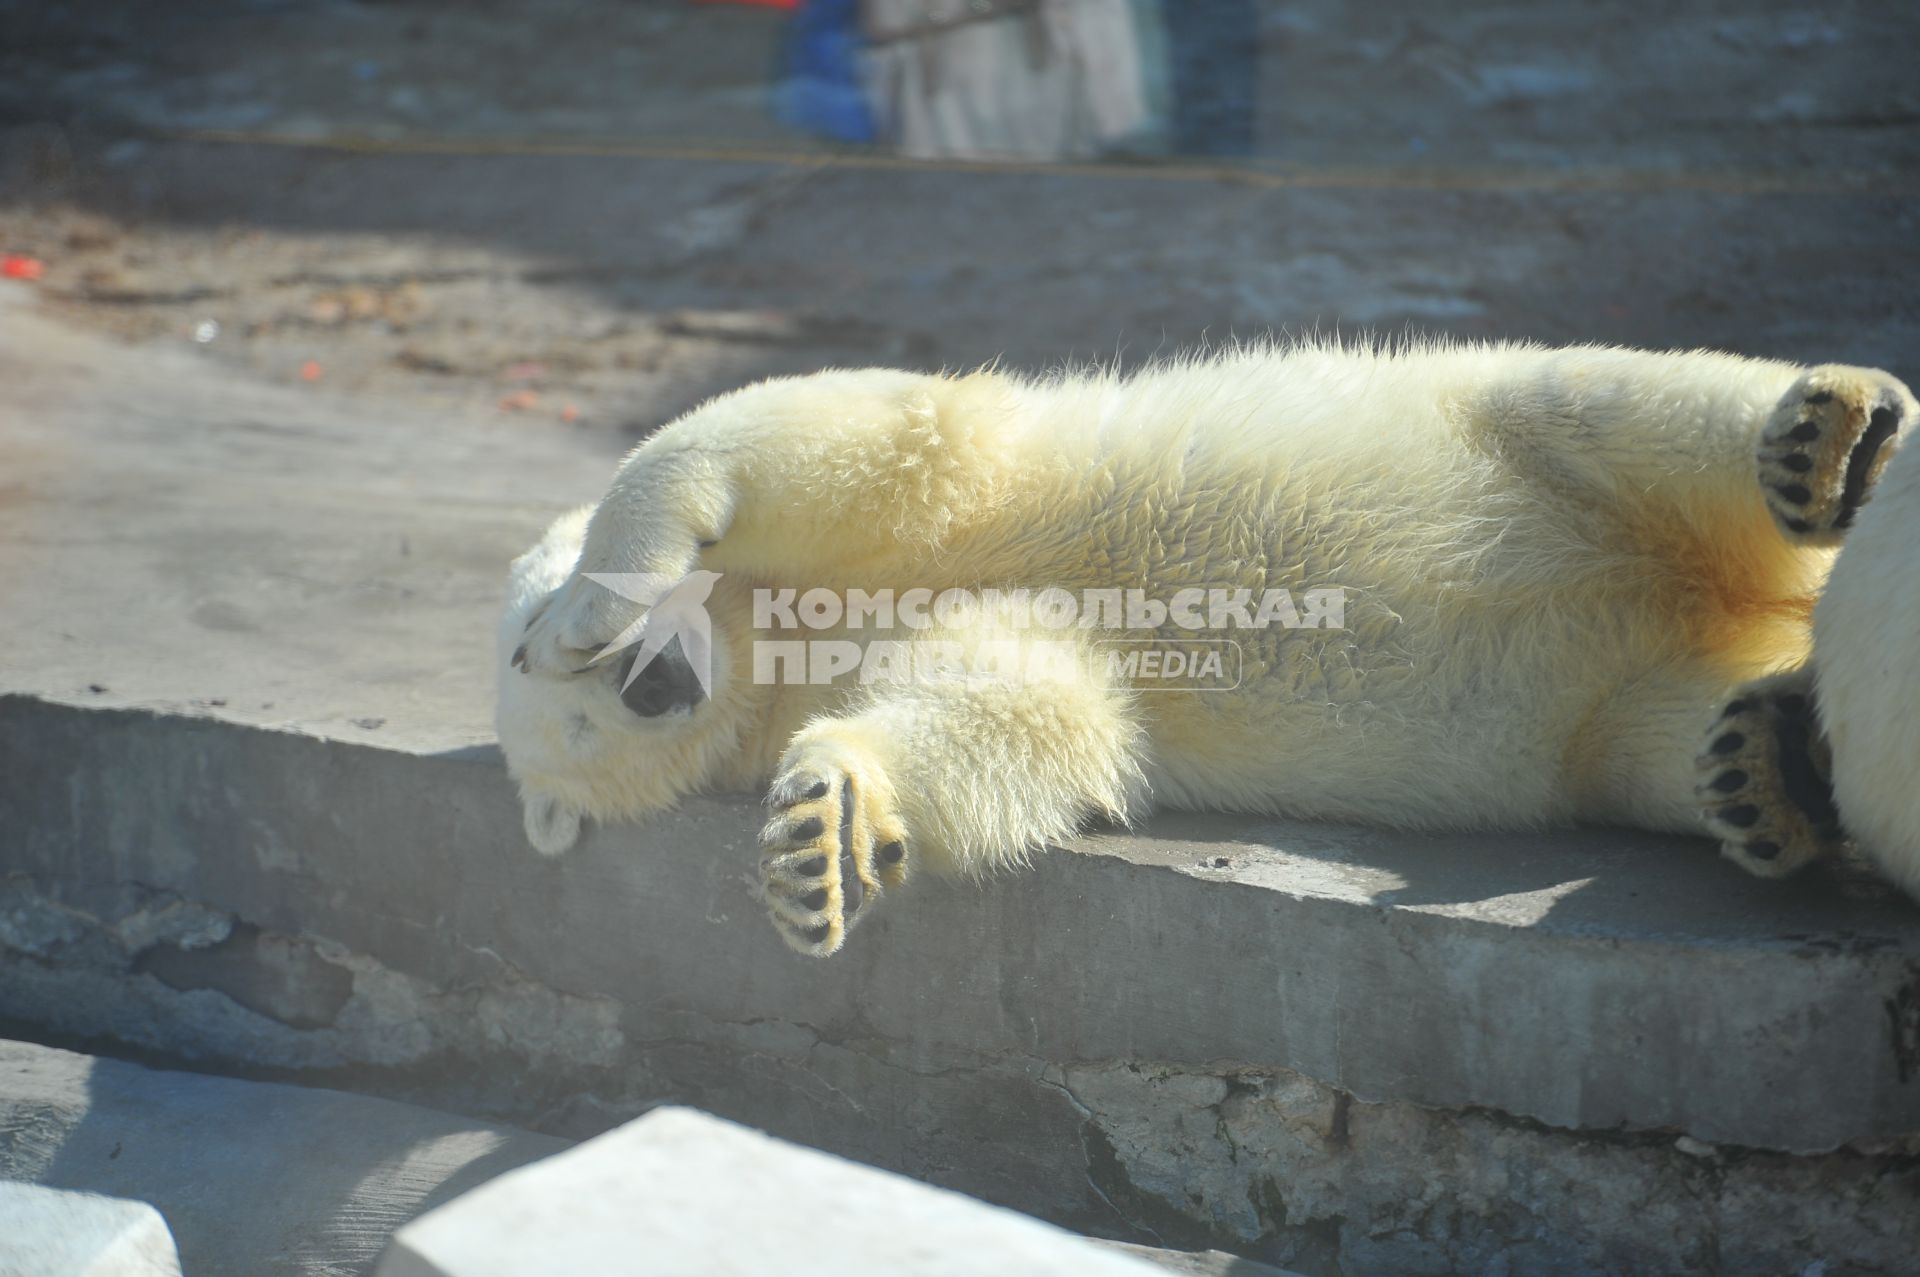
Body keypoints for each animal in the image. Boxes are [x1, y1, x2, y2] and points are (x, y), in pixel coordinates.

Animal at [503, 343, 1912, 952]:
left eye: (535, 659)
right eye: (575, 728)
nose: (652, 675)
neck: (780, 629)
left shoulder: (935, 511)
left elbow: (868, 431)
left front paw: (600, 588)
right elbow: (1030, 702)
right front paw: (820, 844)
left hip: (1525, 443)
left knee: (1623, 405)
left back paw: (1823, 439)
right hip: (1612, 700)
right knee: (1655, 731)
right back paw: (1764, 765)